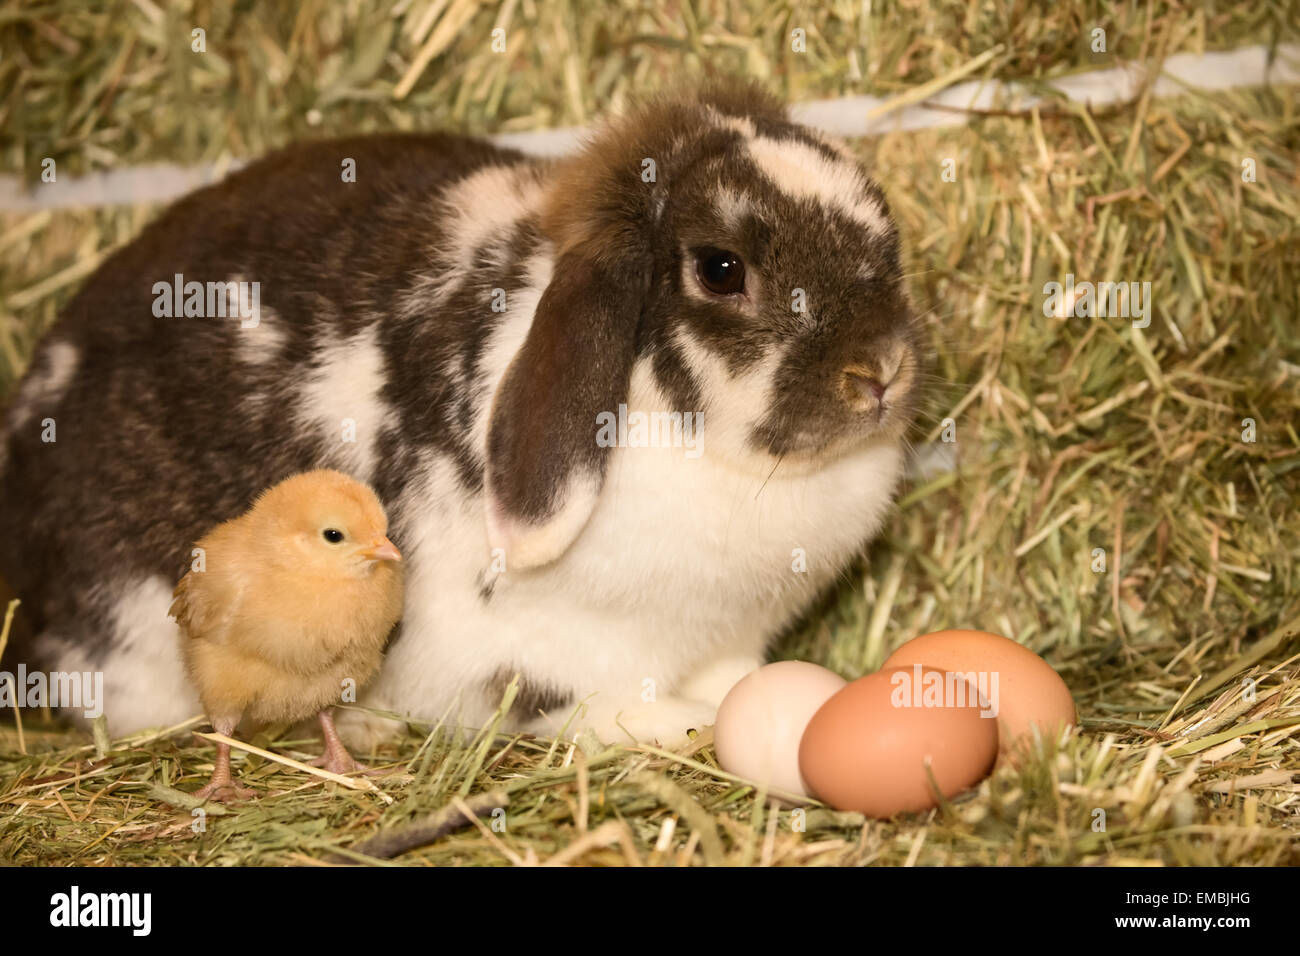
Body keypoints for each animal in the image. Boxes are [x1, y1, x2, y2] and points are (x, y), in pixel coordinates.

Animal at [0, 82, 925, 749]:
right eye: (721, 268)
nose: (881, 372)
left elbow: (736, 674)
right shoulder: (513, 649)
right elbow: (571, 704)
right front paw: (681, 724)